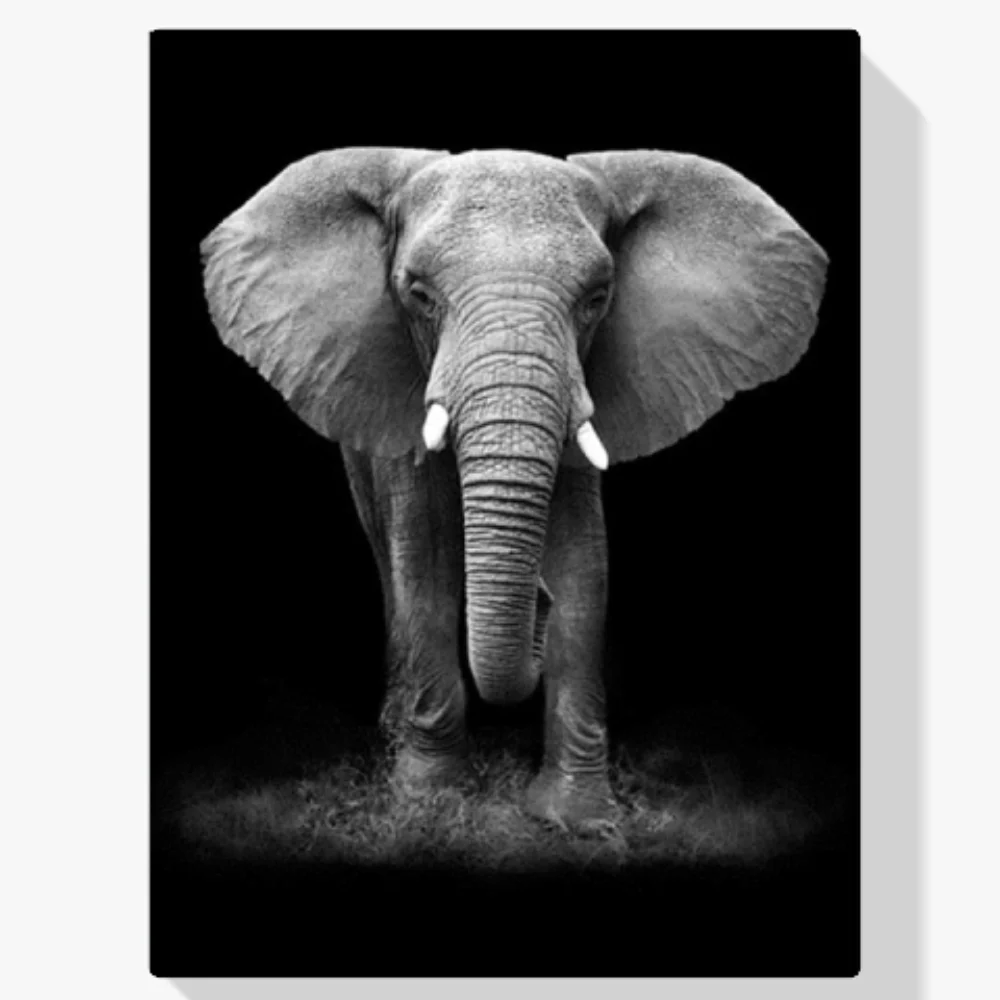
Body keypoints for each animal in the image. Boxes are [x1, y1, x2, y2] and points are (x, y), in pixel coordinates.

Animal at [201, 147, 827, 830]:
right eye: (418, 294)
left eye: (597, 297)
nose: (537, 601)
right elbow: (424, 561)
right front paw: (429, 802)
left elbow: (584, 565)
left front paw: (577, 818)